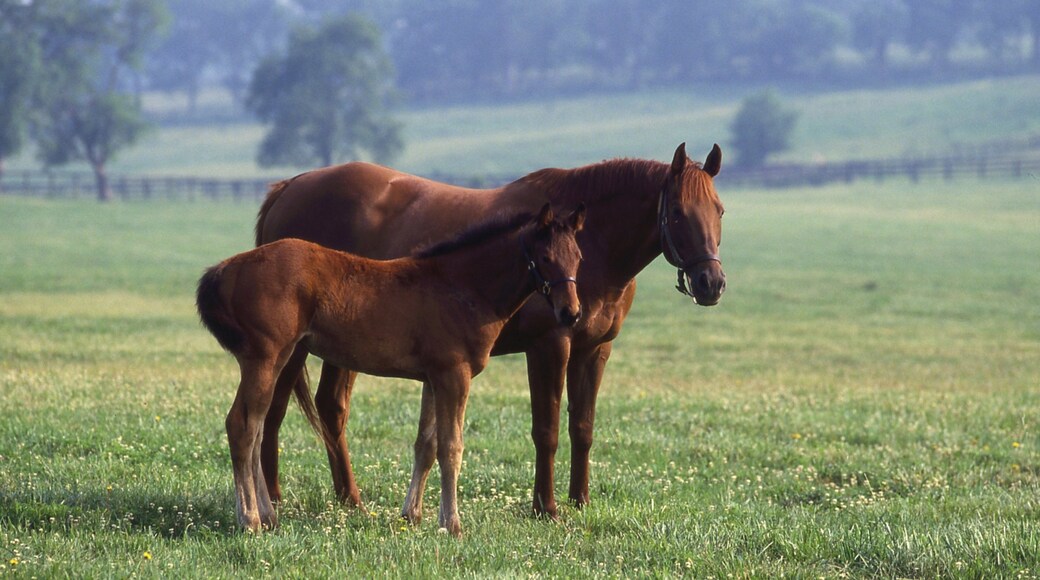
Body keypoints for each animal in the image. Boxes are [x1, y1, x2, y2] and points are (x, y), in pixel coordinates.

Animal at [197, 204, 586, 535]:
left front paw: (412, 515)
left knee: (257, 428)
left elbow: (426, 445)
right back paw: (249, 519)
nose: (571, 313)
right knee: (243, 426)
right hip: (264, 358)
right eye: (546, 257)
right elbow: (451, 447)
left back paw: (267, 515)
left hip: (275, 358)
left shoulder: (433, 378)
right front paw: (452, 525)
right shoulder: (454, 375)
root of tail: (228, 269)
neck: (462, 286)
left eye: (578, 258)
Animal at [255, 143, 725, 520]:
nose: (711, 283)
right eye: (678, 213)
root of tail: (290, 187)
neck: (588, 245)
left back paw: (348, 499)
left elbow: (583, 428)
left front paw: (580, 502)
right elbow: (546, 430)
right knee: (274, 410)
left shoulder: (595, 350)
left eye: (719, 211)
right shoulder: (549, 347)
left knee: (330, 407)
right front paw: (546, 507)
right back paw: (275, 499)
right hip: (296, 348)